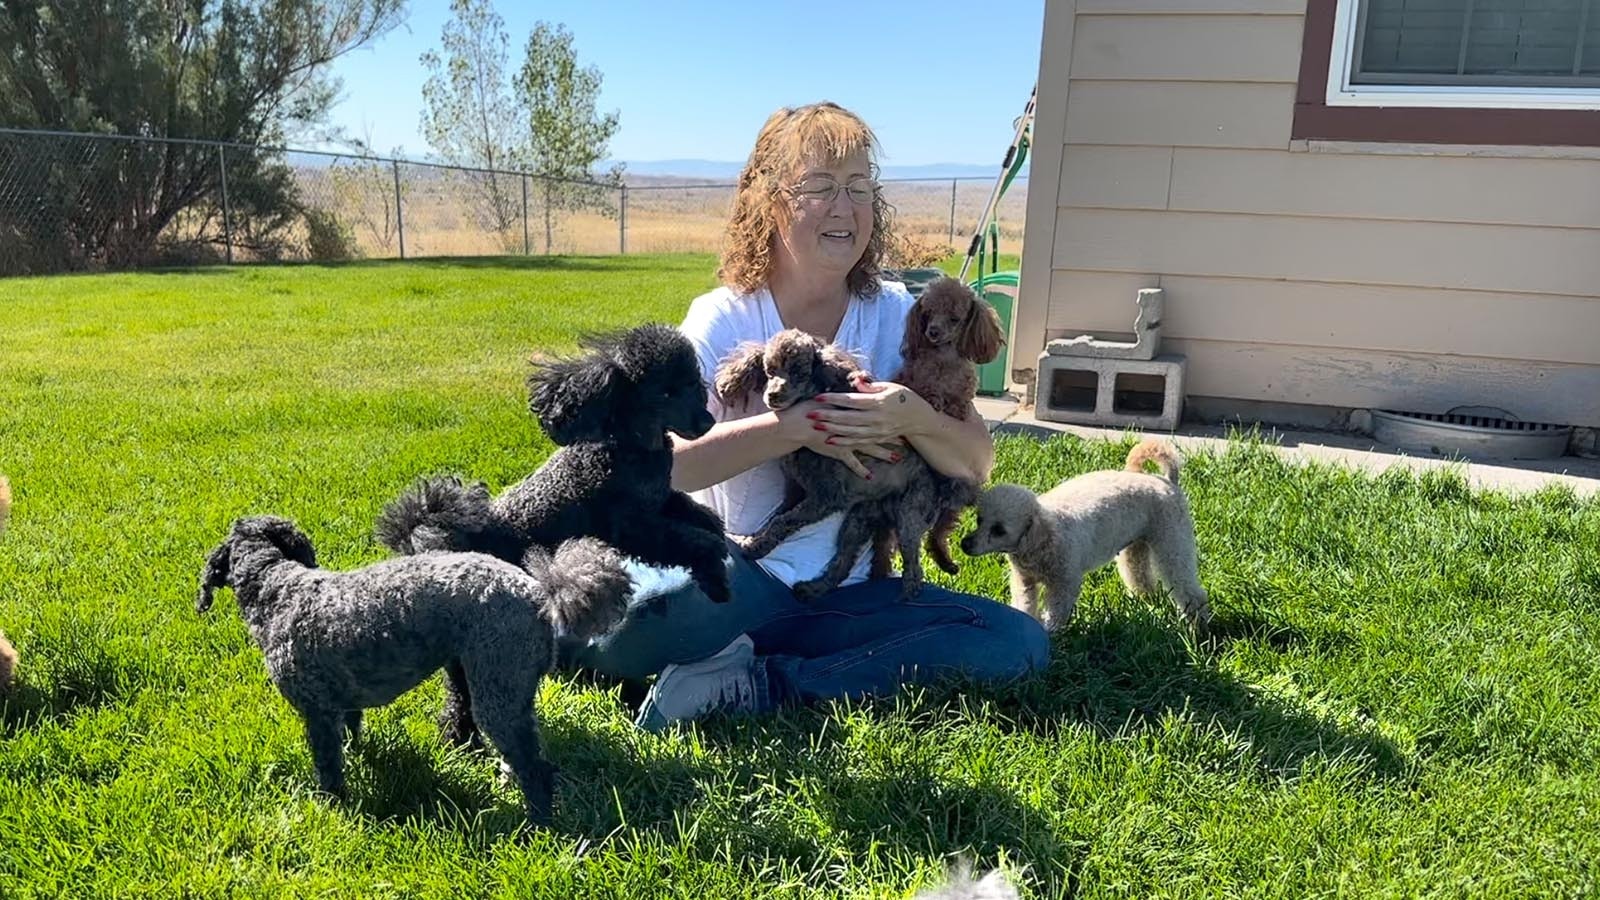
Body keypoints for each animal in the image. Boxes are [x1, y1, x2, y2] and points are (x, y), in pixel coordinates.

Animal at [953, 438, 1203, 627]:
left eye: (999, 530)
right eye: (979, 520)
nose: (965, 544)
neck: (1042, 541)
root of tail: (1167, 481)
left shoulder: (1065, 583)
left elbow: (1055, 613)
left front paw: (1050, 634)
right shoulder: (1025, 580)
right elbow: (1025, 605)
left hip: (1172, 540)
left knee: (1189, 589)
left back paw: (1199, 629)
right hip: (1136, 546)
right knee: (1140, 576)